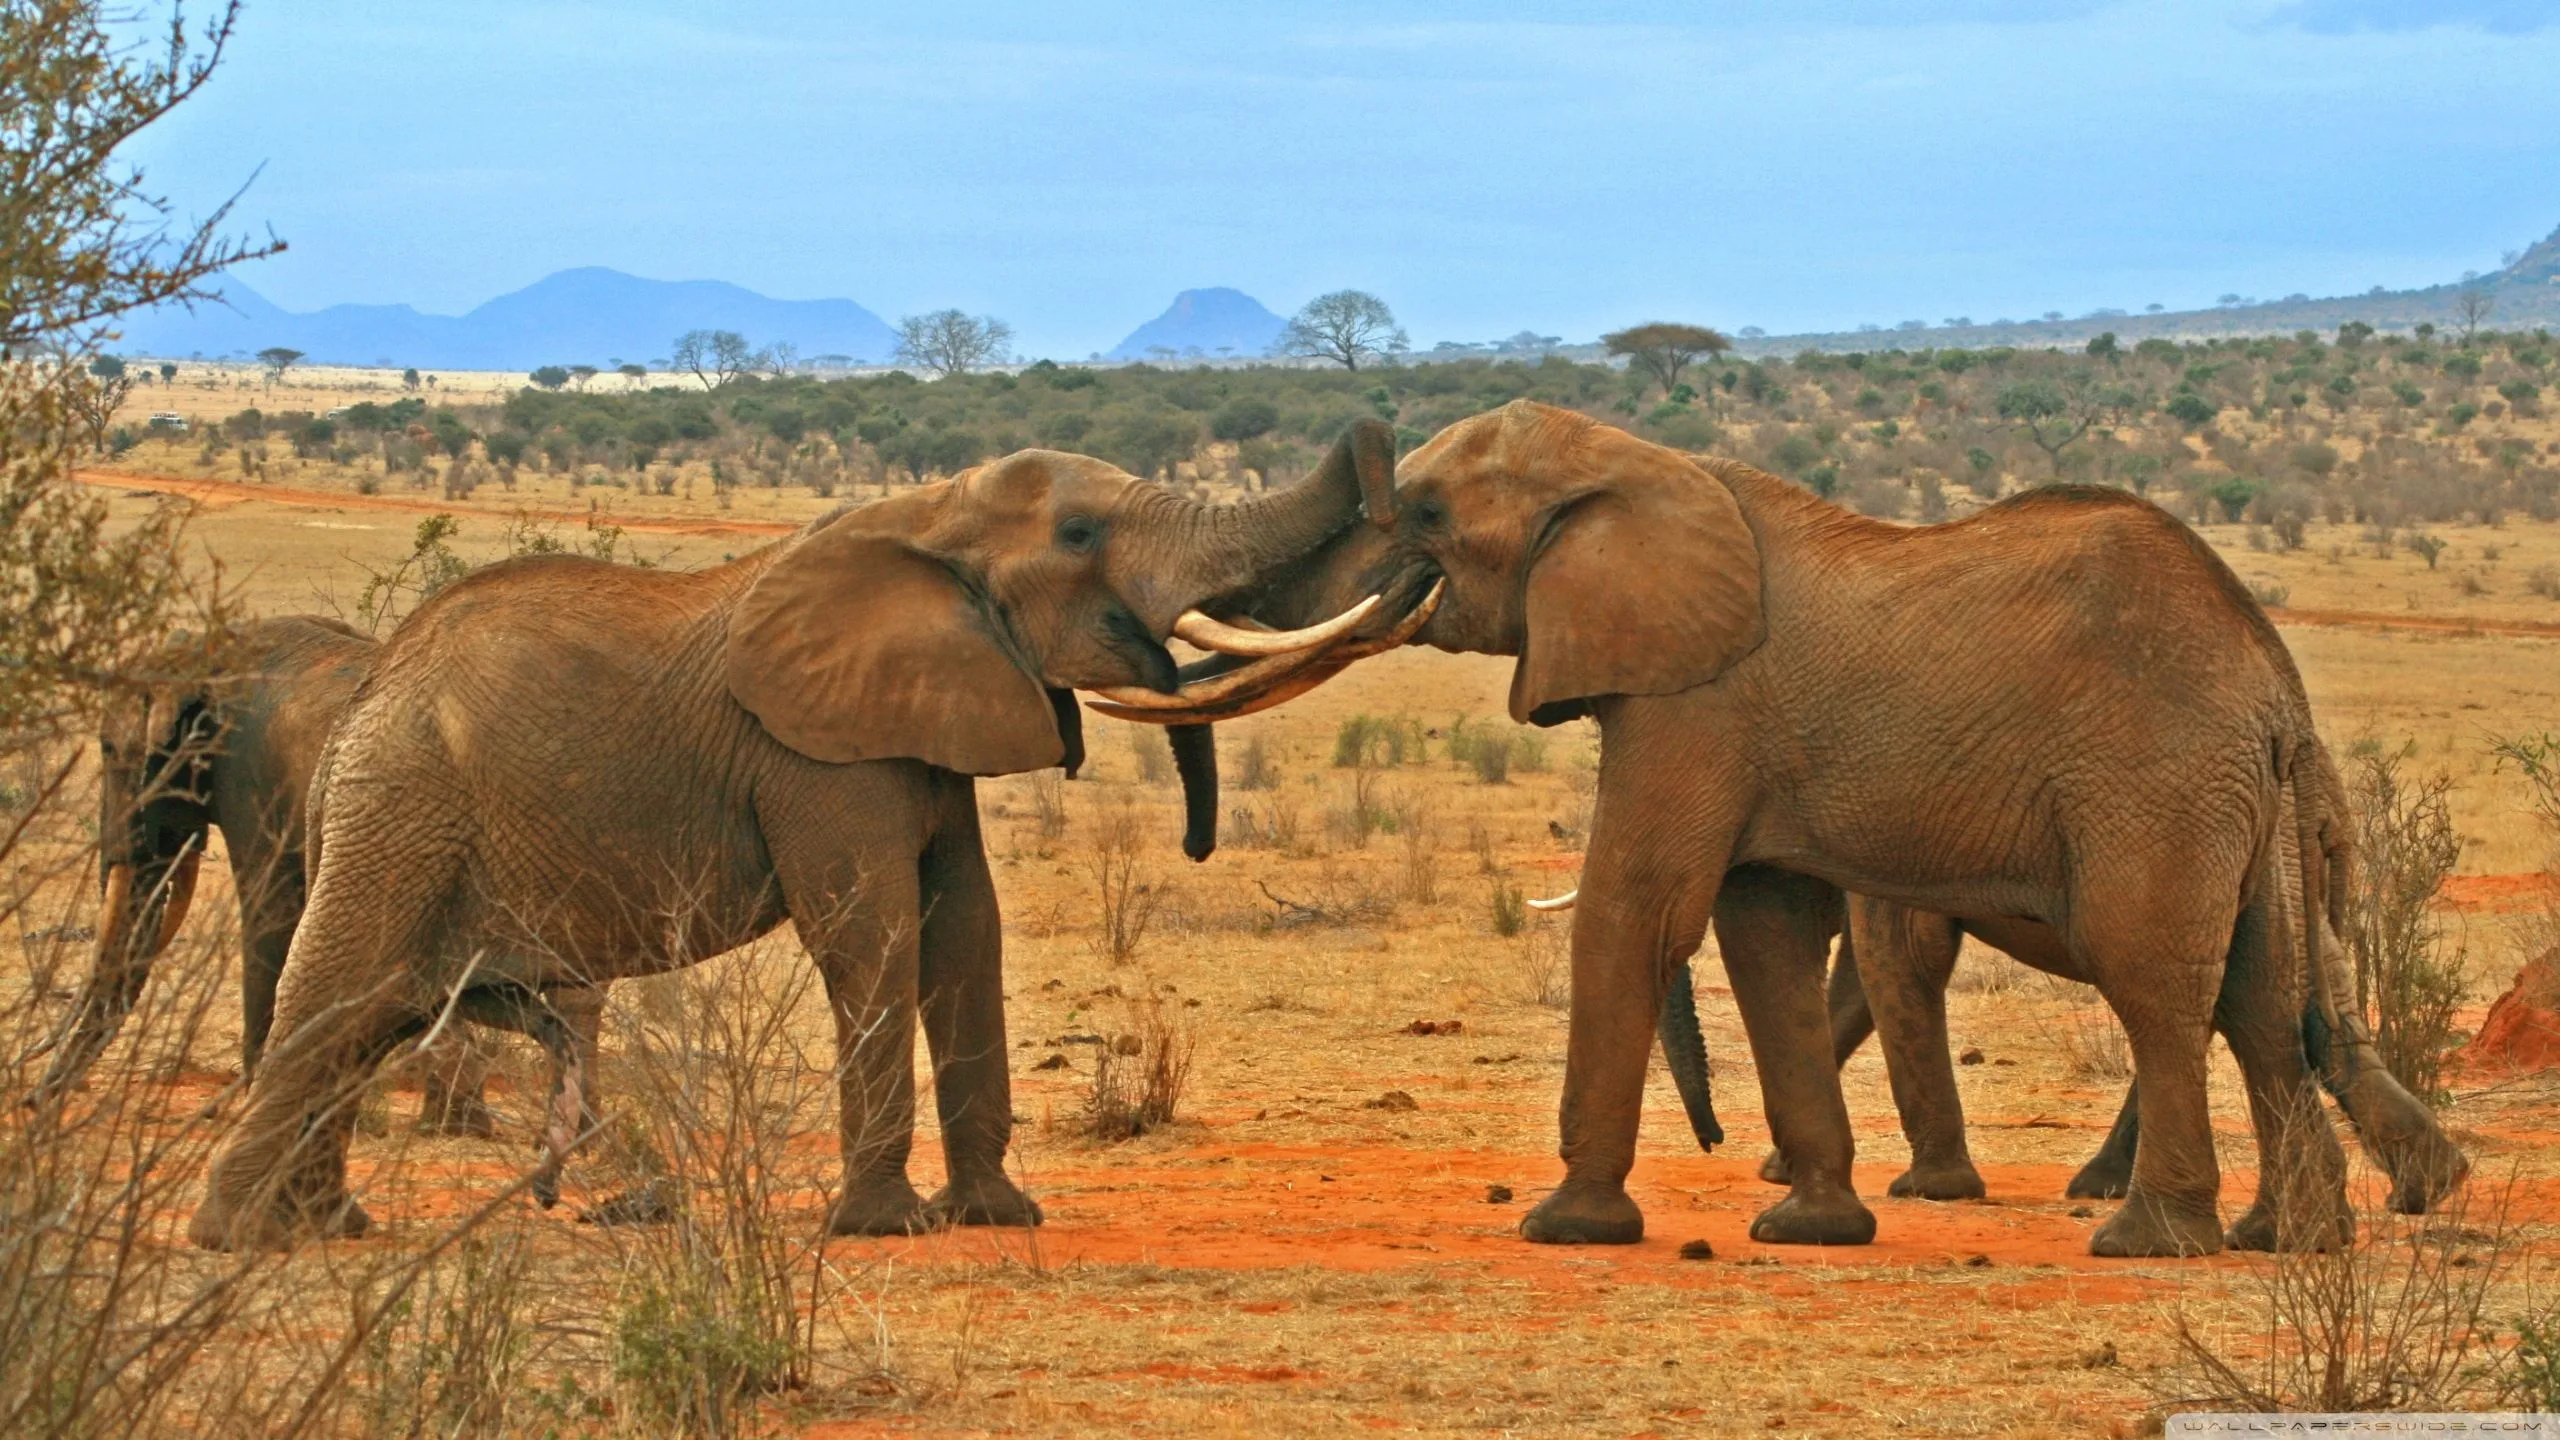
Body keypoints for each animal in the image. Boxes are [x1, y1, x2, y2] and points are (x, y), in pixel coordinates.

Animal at [192, 422, 1402, 1245]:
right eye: (1079, 532)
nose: (1379, 439)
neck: (924, 514)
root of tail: (369, 694)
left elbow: (967, 934)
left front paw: (998, 1215)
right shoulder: (813, 756)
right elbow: (875, 933)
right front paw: (889, 1227)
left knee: (373, 1017)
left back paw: (325, 1230)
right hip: (404, 803)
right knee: (344, 994)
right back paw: (243, 1239)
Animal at [1177, 397, 2437, 1250]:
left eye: (1431, 515)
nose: (1712, 1145)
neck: (1637, 463)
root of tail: (2272, 682)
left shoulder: (1698, 703)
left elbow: (1641, 910)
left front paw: (1565, 1224)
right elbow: (1765, 936)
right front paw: (1812, 1223)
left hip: (2156, 785)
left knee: (2157, 981)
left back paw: (2143, 1241)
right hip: (2243, 802)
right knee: (2264, 1002)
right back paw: (2290, 1241)